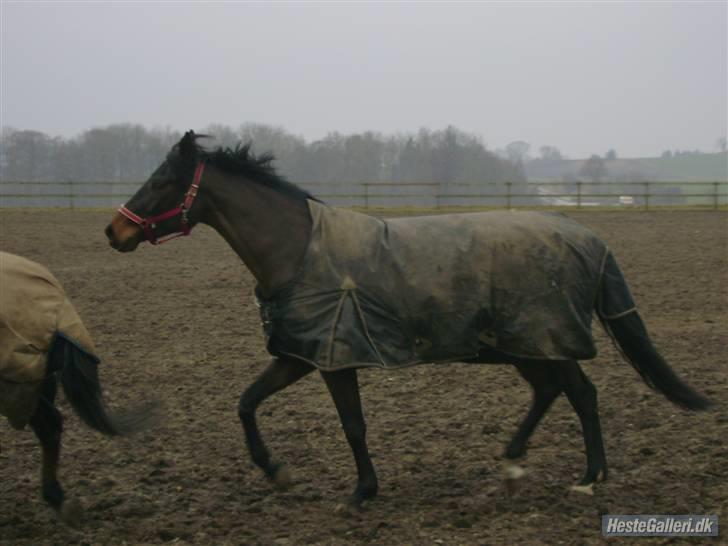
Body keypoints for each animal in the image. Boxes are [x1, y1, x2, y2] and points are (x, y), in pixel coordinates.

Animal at [105, 131, 708, 506]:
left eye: (160, 181)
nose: (115, 231)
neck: (298, 250)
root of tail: (586, 236)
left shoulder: (334, 358)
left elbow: (352, 425)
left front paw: (361, 491)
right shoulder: (300, 355)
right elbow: (247, 403)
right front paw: (276, 472)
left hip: (542, 338)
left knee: (579, 393)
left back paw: (587, 478)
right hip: (524, 345)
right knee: (555, 392)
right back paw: (517, 464)